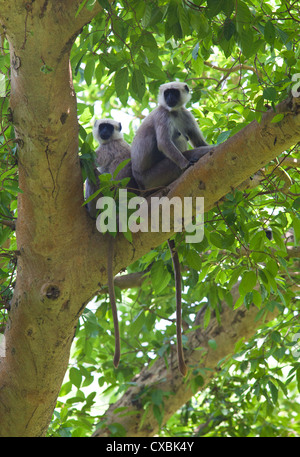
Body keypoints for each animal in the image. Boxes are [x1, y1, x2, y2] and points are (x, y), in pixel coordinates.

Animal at [131, 81, 213, 374]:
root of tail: (143, 186)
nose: (168, 98)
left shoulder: (183, 114)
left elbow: (196, 138)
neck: (173, 111)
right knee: (178, 145)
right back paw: (190, 161)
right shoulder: (163, 116)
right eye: (165, 93)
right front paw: (187, 163)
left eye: (173, 93)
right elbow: (165, 143)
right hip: (157, 175)